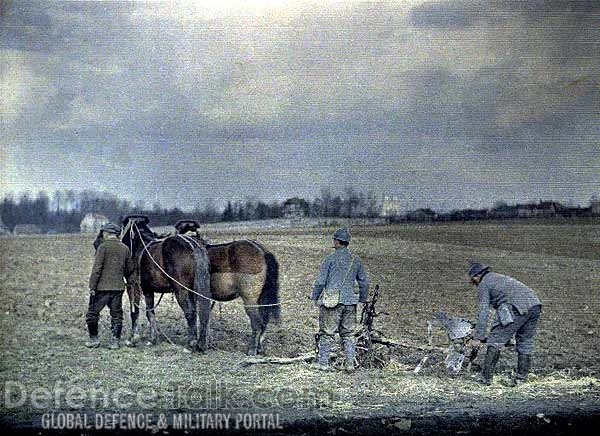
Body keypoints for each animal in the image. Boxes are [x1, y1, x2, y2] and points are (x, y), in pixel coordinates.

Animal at [123, 216, 282, 356]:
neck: (142, 247)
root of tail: (262, 251)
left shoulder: (137, 287)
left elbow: (139, 312)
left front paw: (137, 339)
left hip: (248, 299)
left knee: (256, 322)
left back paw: (251, 349)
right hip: (261, 299)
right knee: (264, 321)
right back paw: (258, 348)